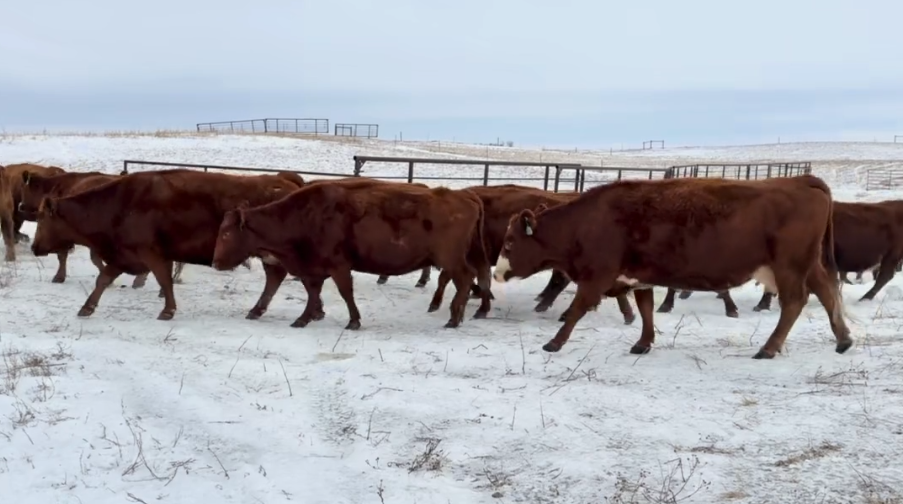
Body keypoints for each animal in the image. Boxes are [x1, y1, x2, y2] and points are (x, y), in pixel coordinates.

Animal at [30, 168, 306, 320]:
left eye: (42, 219)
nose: (34, 247)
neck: (120, 204)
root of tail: (289, 186)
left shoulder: (151, 253)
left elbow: (164, 279)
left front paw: (167, 311)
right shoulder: (123, 255)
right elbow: (103, 279)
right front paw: (86, 308)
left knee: (277, 276)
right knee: (275, 277)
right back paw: (256, 311)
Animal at [210, 181, 492, 330]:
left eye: (226, 233)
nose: (215, 262)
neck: (305, 216)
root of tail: (464, 195)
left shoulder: (338, 266)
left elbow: (345, 292)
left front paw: (353, 321)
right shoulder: (313, 269)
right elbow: (313, 293)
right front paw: (305, 317)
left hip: (450, 259)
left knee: (464, 278)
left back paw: (454, 318)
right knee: (472, 277)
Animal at [492, 175, 853, 360]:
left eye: (509, 243)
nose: (496, 273)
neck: (588, 221)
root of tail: (801, 179)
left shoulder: (597, 277)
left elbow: (578, 308)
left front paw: (555, 342)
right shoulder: (639, 277)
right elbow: (646, 309)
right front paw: (643, 342)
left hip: (789, 267)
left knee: (794, 302)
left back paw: (769, 347)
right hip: (807, 264)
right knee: (826, 291)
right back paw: (843, 339)